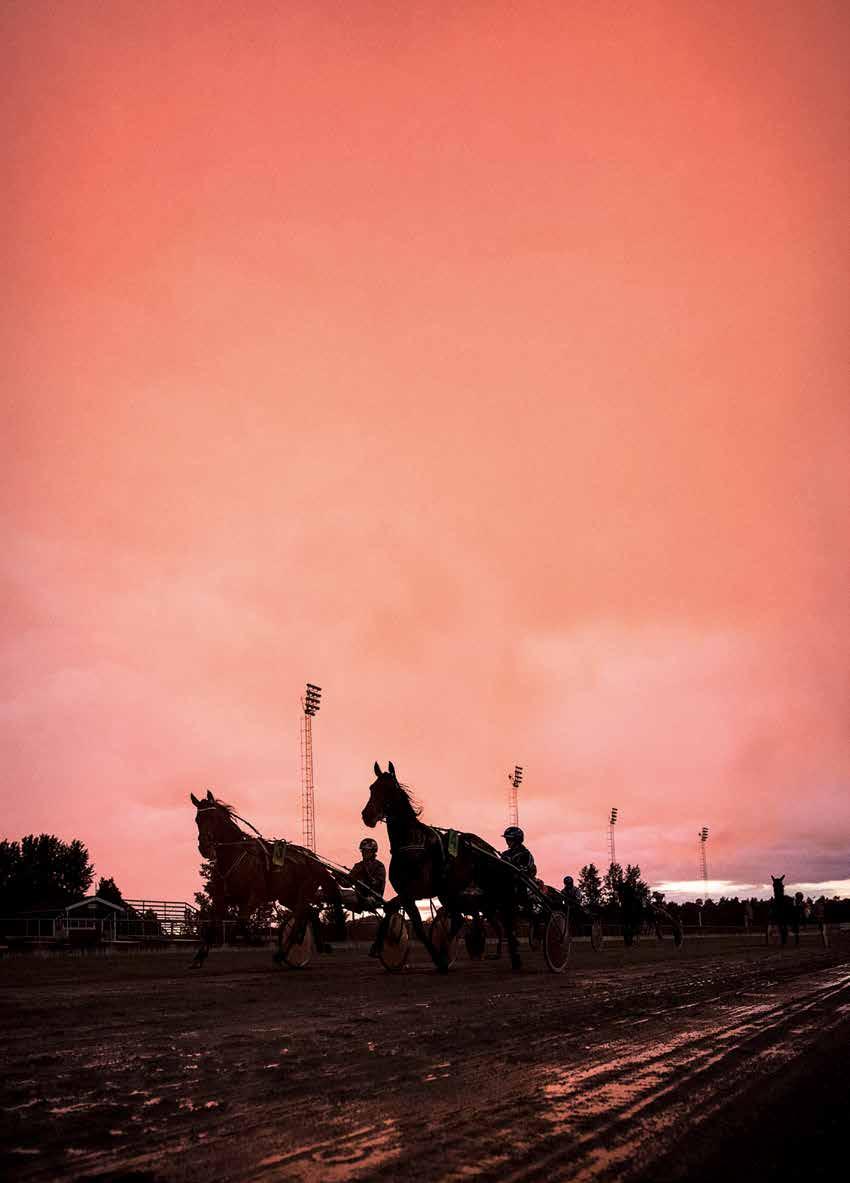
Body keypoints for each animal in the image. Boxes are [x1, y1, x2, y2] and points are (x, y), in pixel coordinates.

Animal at [190, 790, 345, 965]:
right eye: (198, 819)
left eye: (213, 818)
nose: (204, 847)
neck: (234, 856)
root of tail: (313, 859)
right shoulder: (221, 899)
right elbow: (212, 925)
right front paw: (199, 956)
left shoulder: (257, 896)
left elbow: (241, 922)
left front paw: (256, 940)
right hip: (287, 896)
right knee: (311, 913)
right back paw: (319, 945)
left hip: (304, 891)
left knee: (300, 917)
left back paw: (284, 952)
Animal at [361, 766, 524, 970]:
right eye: (372, 788)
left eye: (389, 789)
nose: (367, 815)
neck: (411, 842)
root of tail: (488, 849)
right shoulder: (406, 893)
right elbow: (395, 911)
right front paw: (379, 946)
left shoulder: (415, 891)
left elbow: (414, 924)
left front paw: (438, 959)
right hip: (451, 892)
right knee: (460, 919)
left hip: (490, 887)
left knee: (505, 916)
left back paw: (514, 957)